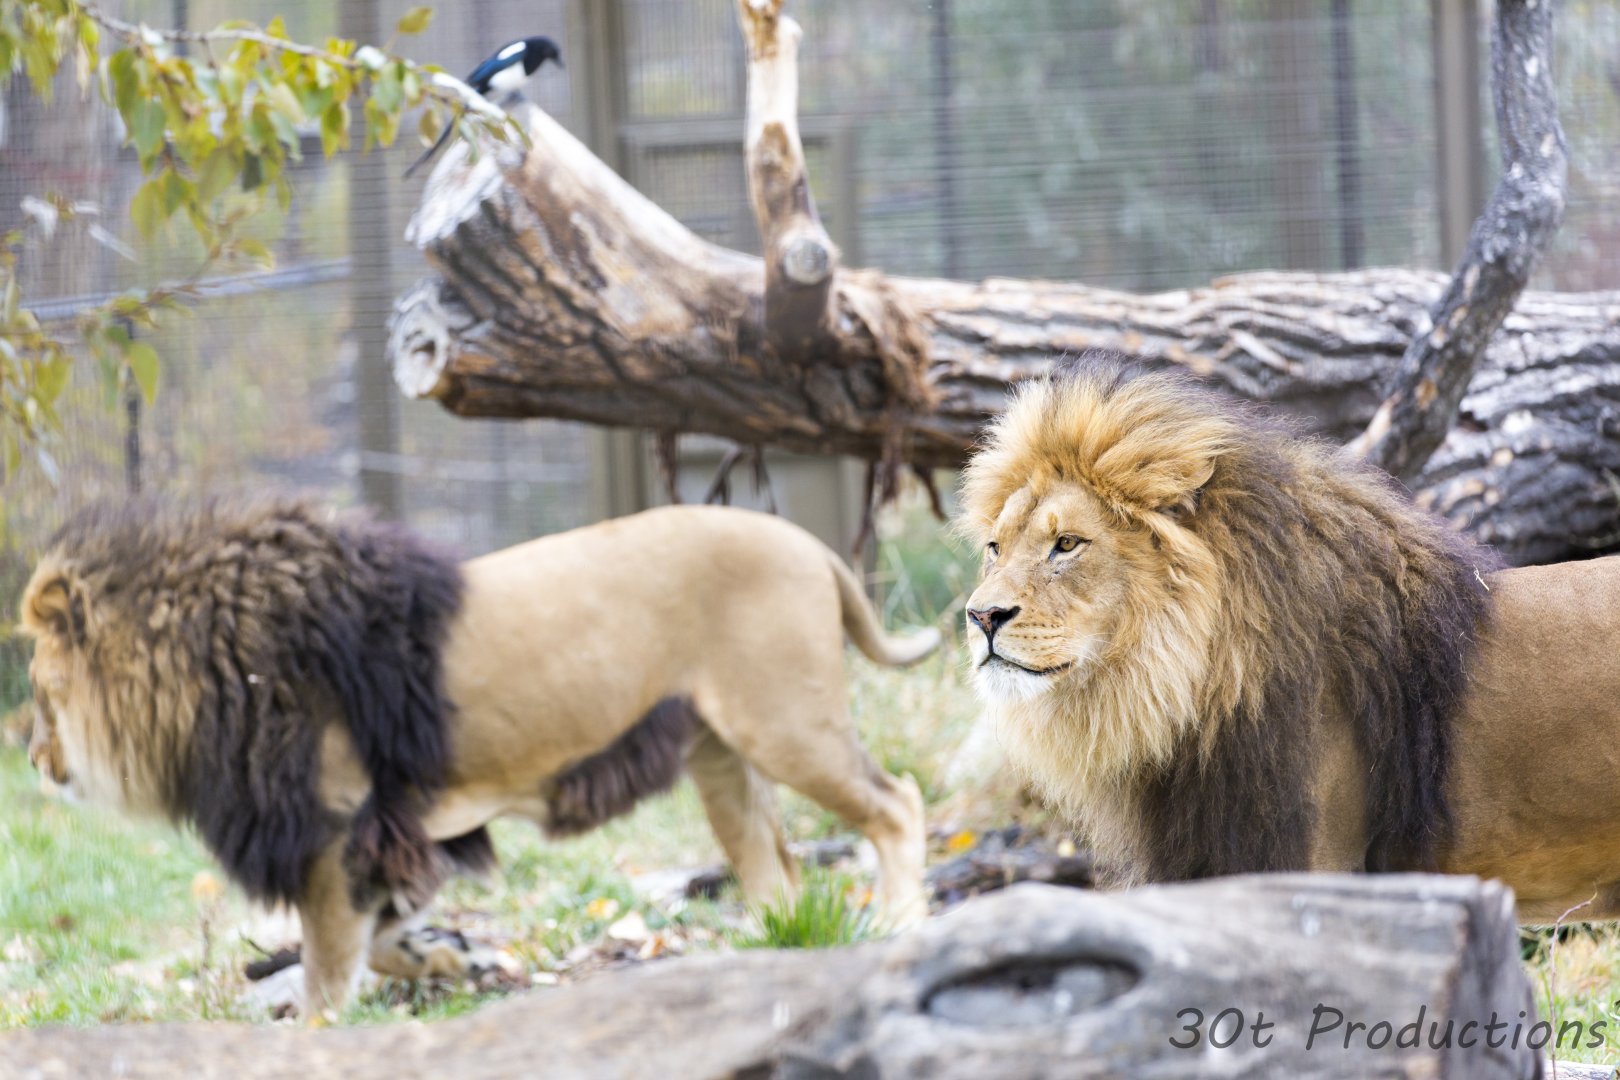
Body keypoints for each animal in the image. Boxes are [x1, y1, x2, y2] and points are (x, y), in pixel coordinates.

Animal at [21, 497, 936, 1014]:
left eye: (35, 688)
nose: (28, 758)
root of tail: (809, 543)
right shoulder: (386, 836)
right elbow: (382, 939)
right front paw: (452, 959)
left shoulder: (336, 831)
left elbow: (325, 969)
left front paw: (321, 1034)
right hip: (722, 755)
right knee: (772, 866)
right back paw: (774, 953)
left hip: (789, 725)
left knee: (898, 804)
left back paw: (898, 920)